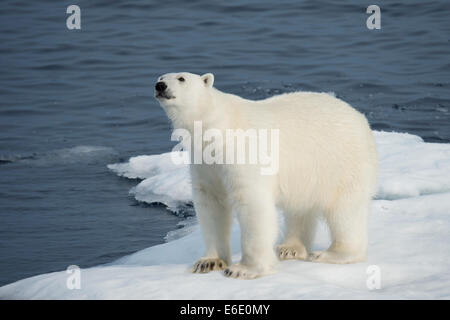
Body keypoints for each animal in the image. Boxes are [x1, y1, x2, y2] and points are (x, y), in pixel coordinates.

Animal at [154, 71, 376, 278]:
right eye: (160, 77)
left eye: (181, 78)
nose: (160, 86)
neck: (217, 129)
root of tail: (360, 118)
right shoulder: (205, 163)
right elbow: (211, 203)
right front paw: (209, 262)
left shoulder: (242, 153)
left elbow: (252, 203)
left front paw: (244, 269)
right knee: (301, 208)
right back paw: (289, 248)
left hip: (341, 163)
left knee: (345, 210)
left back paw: (332, 253)